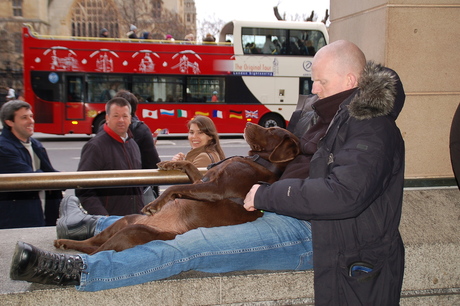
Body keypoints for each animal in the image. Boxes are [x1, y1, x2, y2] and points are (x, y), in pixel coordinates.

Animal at [54, 122, 300, 253]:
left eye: (271, 131)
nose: (248, 123)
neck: (258, 161)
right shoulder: (203, 180)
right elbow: (189, 166)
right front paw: (169, 163)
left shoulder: (216, 188)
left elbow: (174, 187)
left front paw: (155, 203)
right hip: (125, 221)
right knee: (90, 245)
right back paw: (66, 242)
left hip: (133, 231)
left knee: (95, 252)